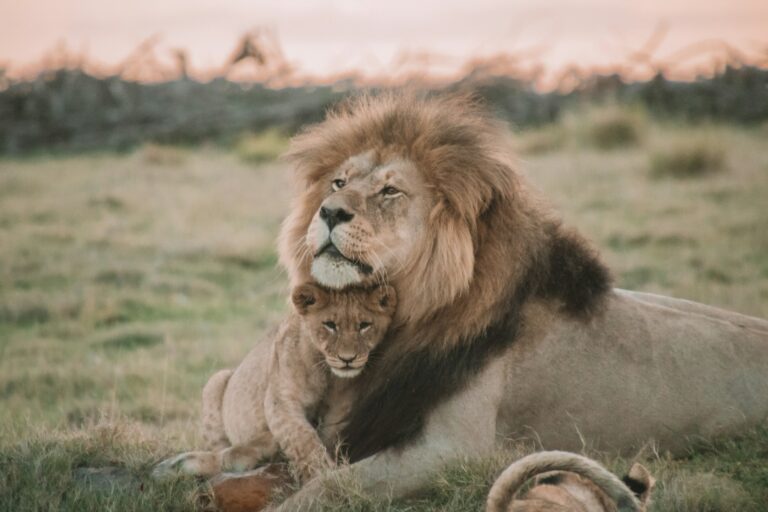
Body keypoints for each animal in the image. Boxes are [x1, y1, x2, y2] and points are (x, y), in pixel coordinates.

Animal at [153, 283, 396, 481]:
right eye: (329, 325)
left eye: (364, 325)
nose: (348, 359)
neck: (328, 374)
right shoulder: (280, 400)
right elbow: (303, 438)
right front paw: (323, 475)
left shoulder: (343, 409)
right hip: (216, 380)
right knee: (220, 449)